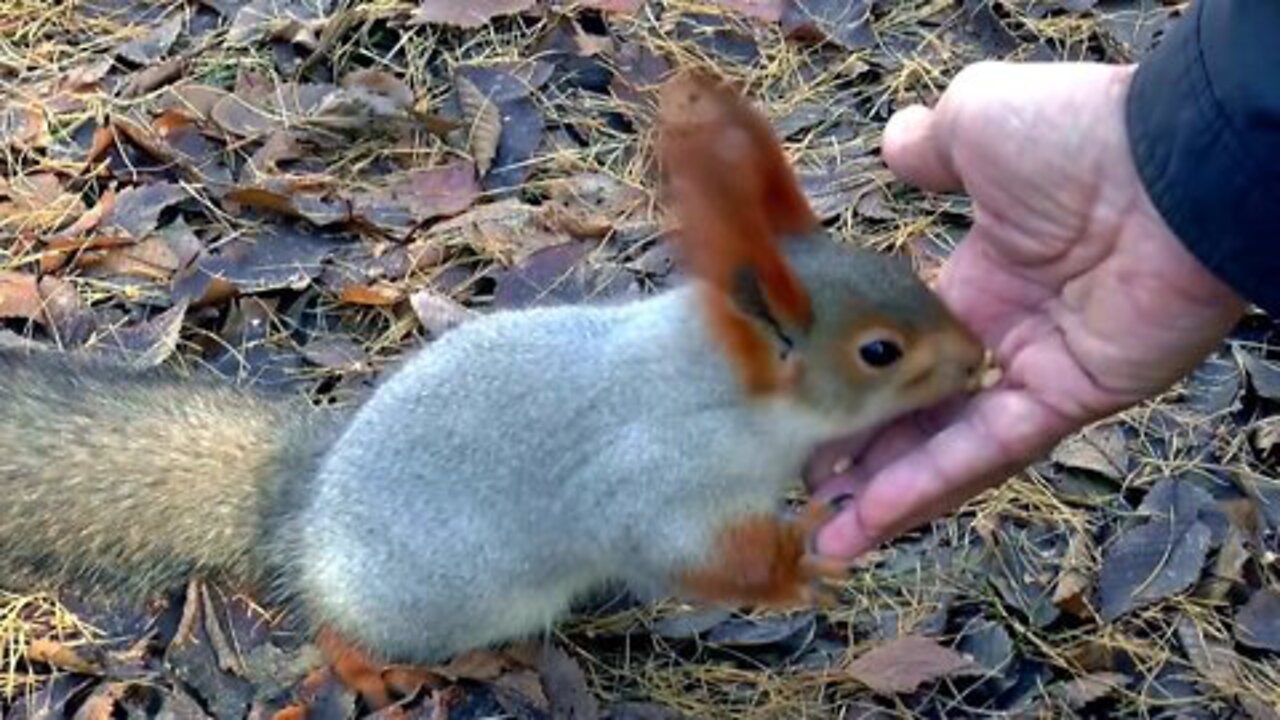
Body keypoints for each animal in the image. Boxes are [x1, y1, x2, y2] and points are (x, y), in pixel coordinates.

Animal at [0, 70, 988, 707]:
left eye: (907, 275)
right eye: (880, 351)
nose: (980, 358)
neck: (721, 387)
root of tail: (304, 514)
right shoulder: (650, 479)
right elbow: (677, 552)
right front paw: (794, 566)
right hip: (428, 598)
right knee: (336, 627)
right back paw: (371, 669)